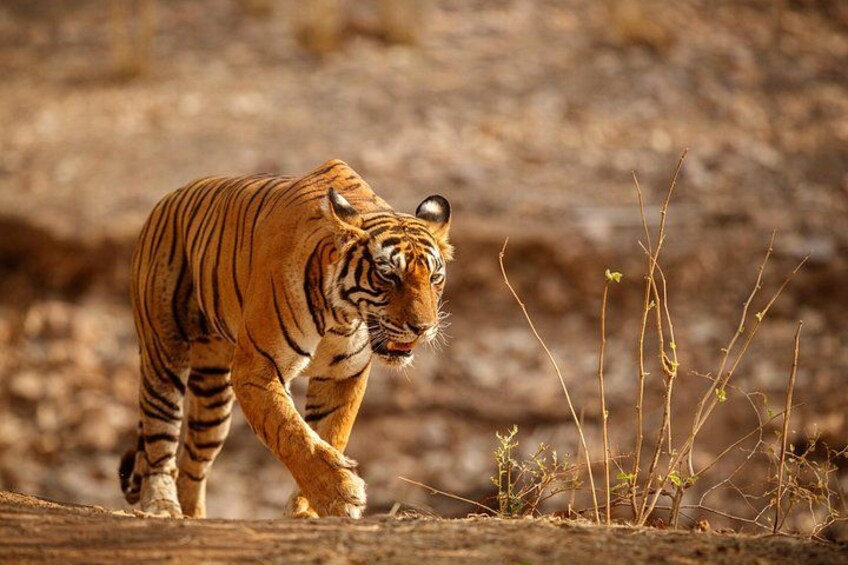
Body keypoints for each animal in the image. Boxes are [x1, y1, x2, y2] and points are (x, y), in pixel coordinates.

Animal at [119, 159, 452, 519]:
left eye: (435, 277)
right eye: (388, 275)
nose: (423, 327)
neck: (342, 318)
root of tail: (167, 200)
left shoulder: (343, 376)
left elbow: (330, 434)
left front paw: (308, 509)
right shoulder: (257, 369)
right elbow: (291, 432)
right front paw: (340, 493)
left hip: (212, 391)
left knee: (193, 462)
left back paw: (192, 515)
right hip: (164, 355)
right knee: (160, 436)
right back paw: (162, 506)